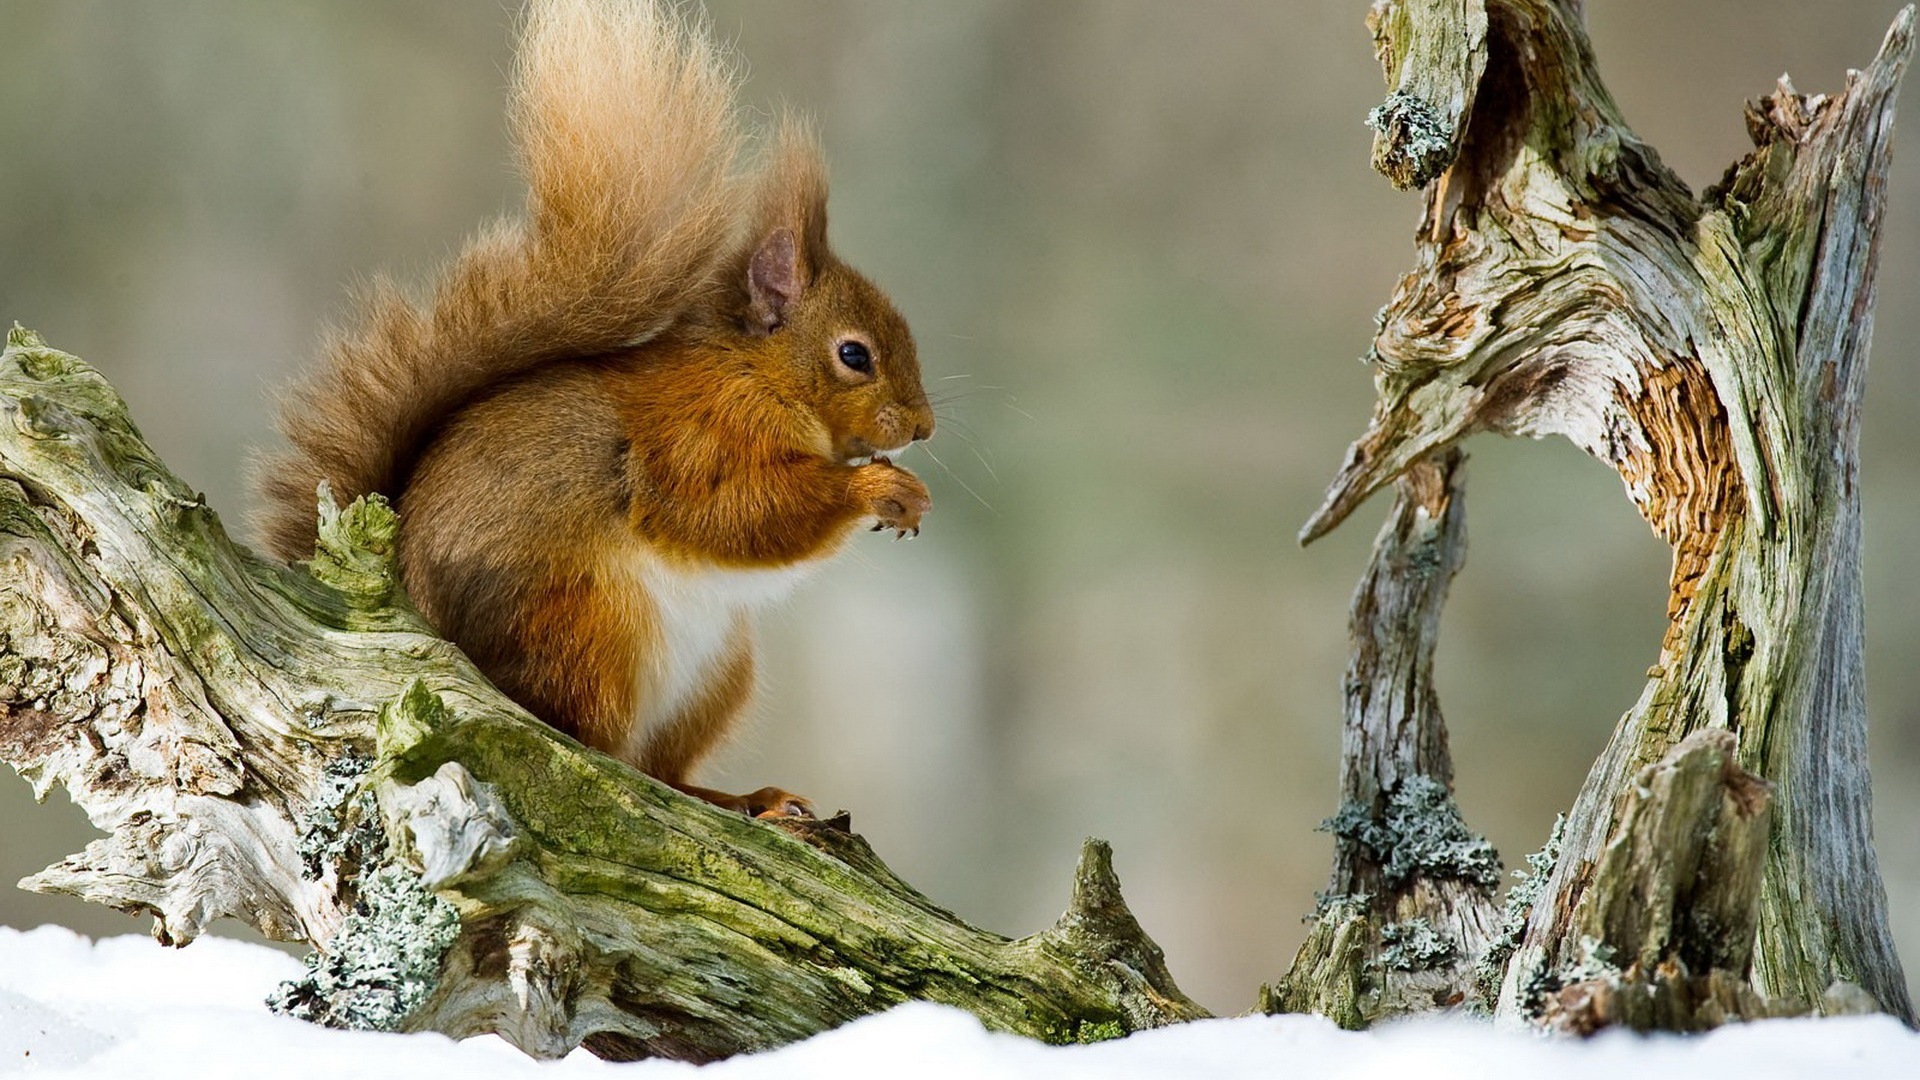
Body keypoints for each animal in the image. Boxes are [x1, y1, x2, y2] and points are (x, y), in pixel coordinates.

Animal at [247, 0, 936, 810]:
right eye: (854, 356)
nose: (923, 427)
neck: (755, 373)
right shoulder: (694, 438)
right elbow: (734, 512)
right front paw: (880, 486)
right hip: (590, 629)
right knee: (597, 747)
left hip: (717, 671)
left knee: (660, 768)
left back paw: (746, 802)